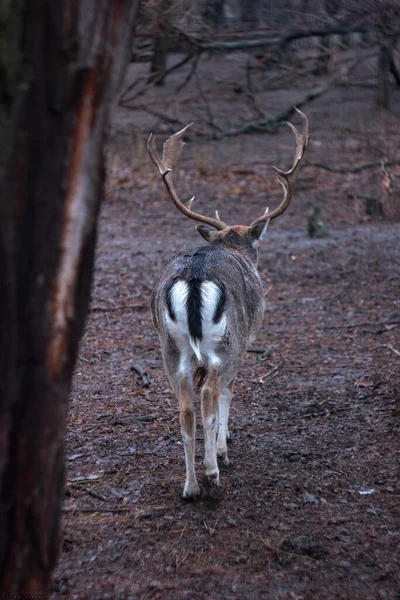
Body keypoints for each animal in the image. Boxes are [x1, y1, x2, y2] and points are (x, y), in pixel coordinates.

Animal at [148, 110, 308, 500]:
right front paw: (223, 447)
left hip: (170, 348)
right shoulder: (243, 343)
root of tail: (193, 278)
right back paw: (211, 473)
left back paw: (190, 486)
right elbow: (228, 393)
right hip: (225, 343)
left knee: (185, 408)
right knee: (209, 394)